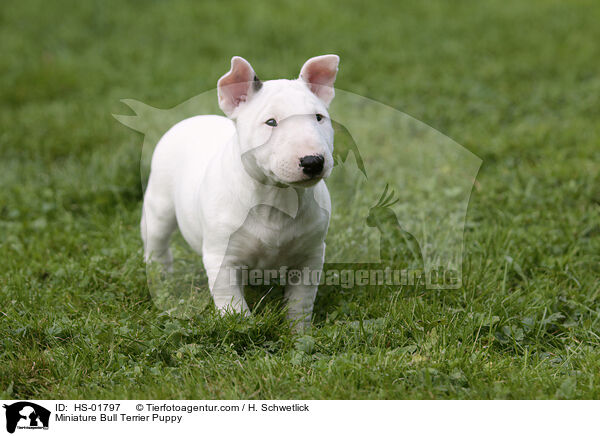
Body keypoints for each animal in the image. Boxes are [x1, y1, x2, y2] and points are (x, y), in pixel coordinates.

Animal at [139, 53, 338, 328]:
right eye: (271, 122)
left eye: (319, 117)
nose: (313, 162)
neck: (276, 196)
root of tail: (194, 119)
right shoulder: (222, 257)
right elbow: (231, 301)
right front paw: (241, 326)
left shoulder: (311, 254)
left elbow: (300, 300)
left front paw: (298, 330)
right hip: (159, 204)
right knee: (157, 243)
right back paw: (161, 279)